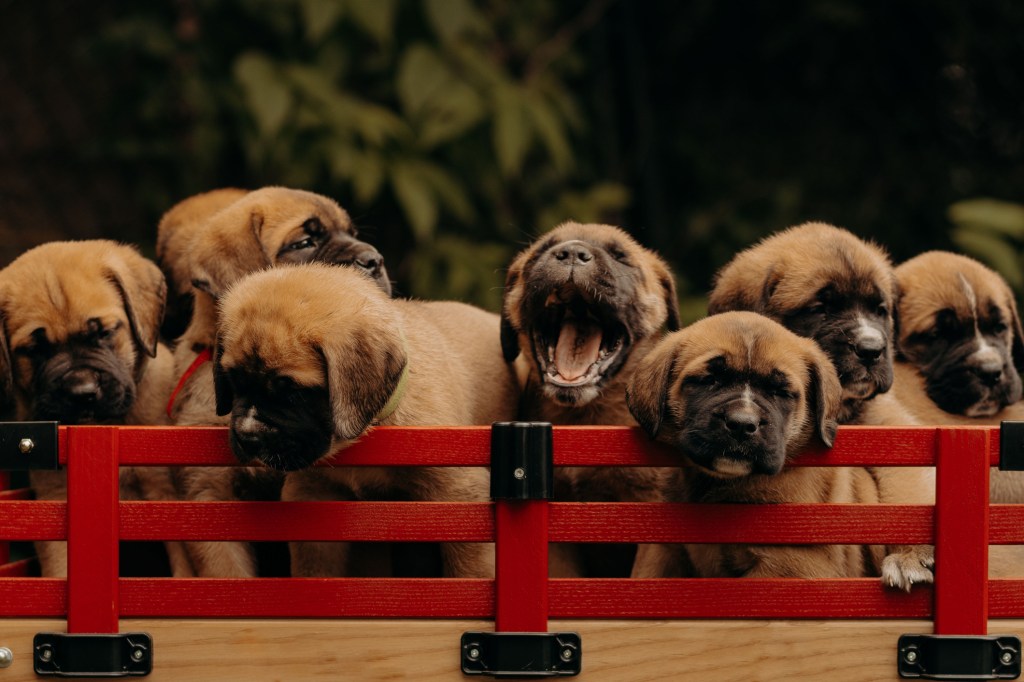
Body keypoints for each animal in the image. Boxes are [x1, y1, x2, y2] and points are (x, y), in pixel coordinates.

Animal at [211, 262, 516, 577]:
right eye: (234, 383)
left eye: (293, 392)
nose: (249, 437)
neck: (370, 429)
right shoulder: (313, 495)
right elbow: (315, 571)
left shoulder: (459, 493)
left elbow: (470, 571)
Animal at [712, 223, 937, 589]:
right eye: (820, 308)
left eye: (880, 310)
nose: (872, 350)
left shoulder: (891, 427)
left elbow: (907, 488)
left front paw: (911, 556)